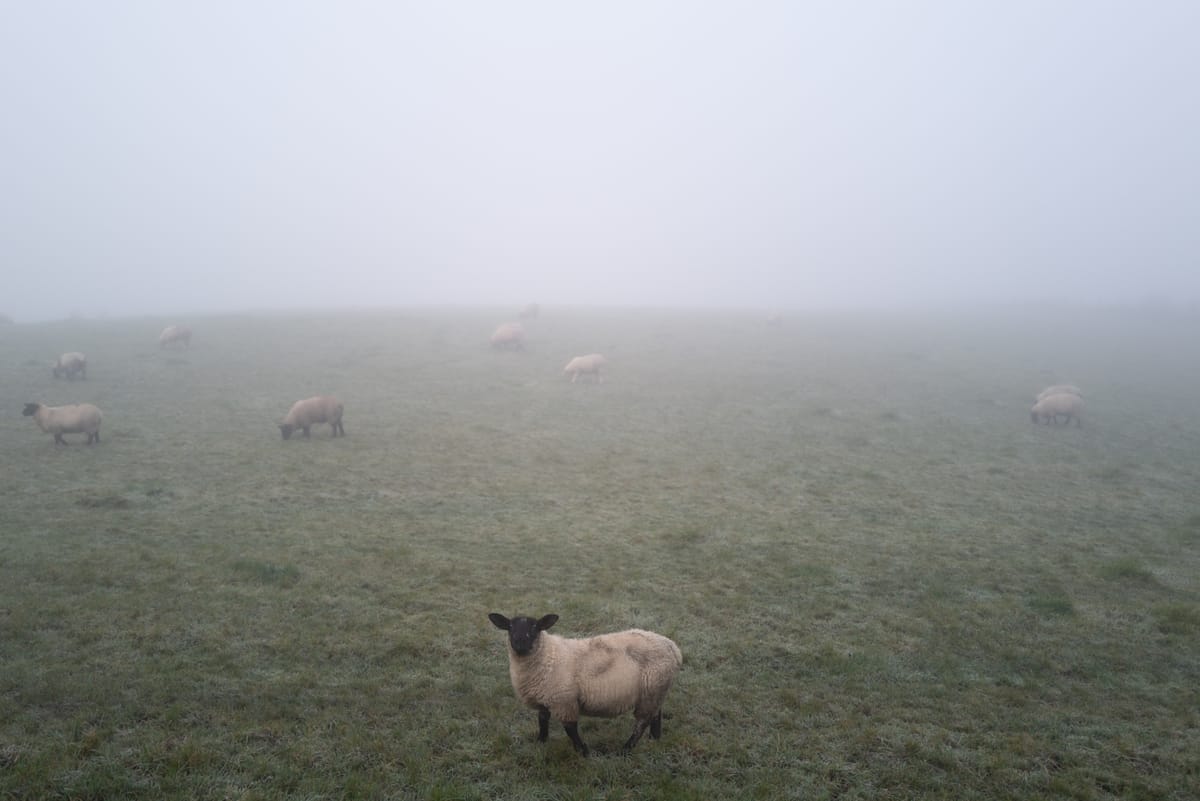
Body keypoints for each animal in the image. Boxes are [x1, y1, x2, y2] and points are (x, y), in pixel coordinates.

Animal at [488, 613, 682, 757]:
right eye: (510, 627)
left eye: (535, 627)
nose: (520, 642)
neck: (547, 655)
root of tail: (671, 645)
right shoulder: (544, 700)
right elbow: (542, 721)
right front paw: (540, 742)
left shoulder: (564, 700)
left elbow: (570, 729)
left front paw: (583, 751)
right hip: (656, 690)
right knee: (656, 714)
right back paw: (654, 739)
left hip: (651, 690)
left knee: (642, 721)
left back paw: (626, 749)